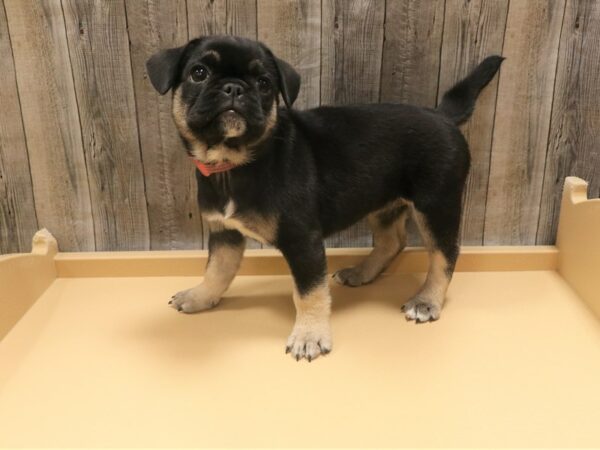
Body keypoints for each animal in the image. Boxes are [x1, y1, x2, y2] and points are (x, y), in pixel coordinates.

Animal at [145, 35, 502, 362]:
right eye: (199, 73)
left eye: (263, 83)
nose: (234, 88)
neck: (234, 162)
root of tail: (443, 116)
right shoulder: (225, 233)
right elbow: (217, 271)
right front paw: (200, 297)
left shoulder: (303, 241)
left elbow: (309, 294)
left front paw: (309, 336)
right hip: (382, 201)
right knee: (393, 241)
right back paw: (361, 273)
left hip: (436, 204)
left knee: (444, 254)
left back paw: (427, 300)